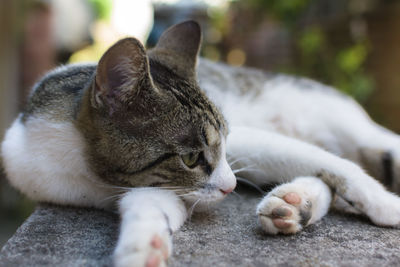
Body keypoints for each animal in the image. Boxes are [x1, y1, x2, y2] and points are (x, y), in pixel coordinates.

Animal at [0, 21, 400, 267]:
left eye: (222, 142)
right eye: (191, 158)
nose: (232, 186)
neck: (90, 173)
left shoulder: (246, 141)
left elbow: (338, 166)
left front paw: (386, 205)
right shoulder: (159, 188)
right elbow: (152, 207)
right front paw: (144, 247)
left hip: (344, 124)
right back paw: (294, 204)